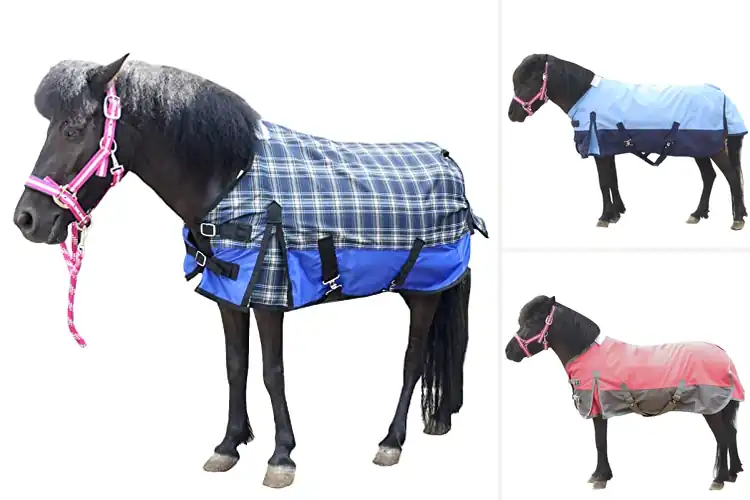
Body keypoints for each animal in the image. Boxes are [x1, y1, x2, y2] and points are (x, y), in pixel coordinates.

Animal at [12, 54, 488, 488]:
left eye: (72, 129)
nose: (26, 220)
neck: (229, 179)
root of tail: (450, 165)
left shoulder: (267, 296)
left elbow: (272, 373)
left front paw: (282, 457)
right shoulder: (231, 295)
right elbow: (235, 366)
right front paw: (228, 445)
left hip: (425, 293)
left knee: (412, 360)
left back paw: (391, 441)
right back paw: (439, 418)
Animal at [505, 295, 745, 491]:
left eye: (531, 322)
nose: (509, 352)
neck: (586, 352)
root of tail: (724, 355)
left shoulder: (597, 409)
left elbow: (600, 442)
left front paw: (600, 477)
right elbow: (601, 442)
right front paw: (601, 475)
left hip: (711, 409)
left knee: (722, 438)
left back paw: (719, 479)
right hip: (722, 407)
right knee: (731, 434)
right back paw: (733, 474)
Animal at [508, 53, 748, 231]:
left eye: (529, 81)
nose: (512, 114)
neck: (585, 95)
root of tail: (722, 95)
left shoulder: (599, 150)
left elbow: (604, 182)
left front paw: (604, 217)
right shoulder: (607, 149)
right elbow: (613, 181)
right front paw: (616, 213)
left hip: (713, 149)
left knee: (732, 177)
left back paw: (737, 220)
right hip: (701, 149)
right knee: (709, 177)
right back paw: (697, 214)